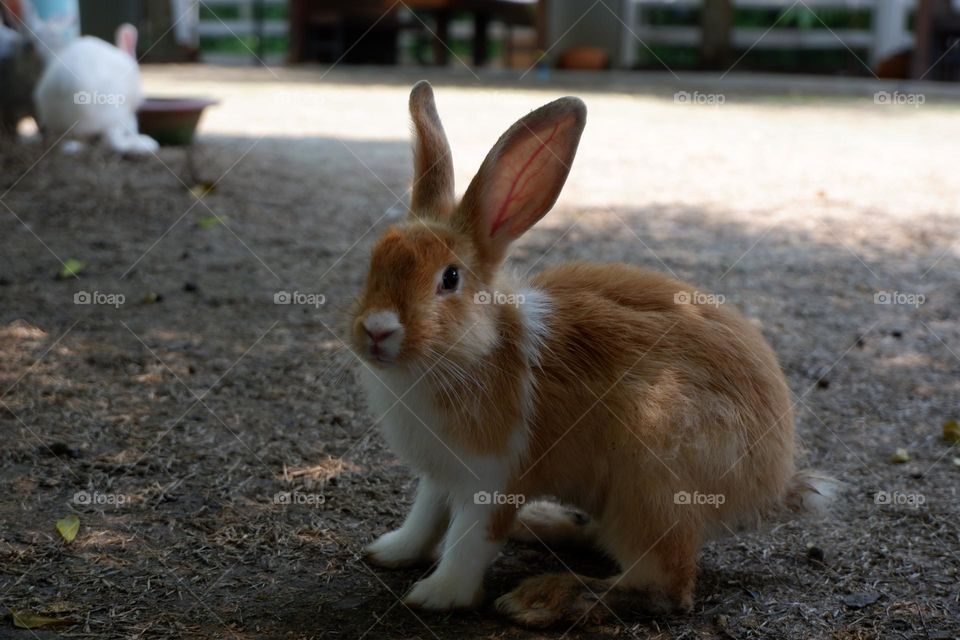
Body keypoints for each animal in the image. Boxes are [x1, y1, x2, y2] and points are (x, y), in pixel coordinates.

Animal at [351, 81, 835, 627]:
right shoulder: (438, 474)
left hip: (650, 487)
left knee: (664, 588)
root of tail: (770, 484)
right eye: (376, 258)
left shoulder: (492, 478)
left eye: (450, 279)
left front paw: (438, 596)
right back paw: (542, 524)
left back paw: (541, 599)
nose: (376, 330)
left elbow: (469, 541)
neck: (476, 351)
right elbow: (427, 517)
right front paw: (390, 552)